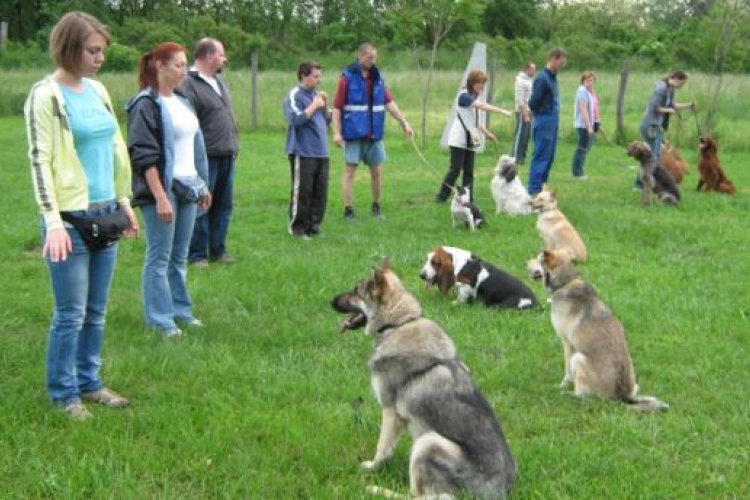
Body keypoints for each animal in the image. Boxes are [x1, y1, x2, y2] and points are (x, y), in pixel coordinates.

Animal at [332, 262, 516, 500]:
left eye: (356, 291)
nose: (331, 300)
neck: (400, 323)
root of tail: (498, 491)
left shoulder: (390, 412)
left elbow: (382, 449)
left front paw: (372, 468)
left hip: (428, 442)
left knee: (417, 496)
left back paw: (376, 489)